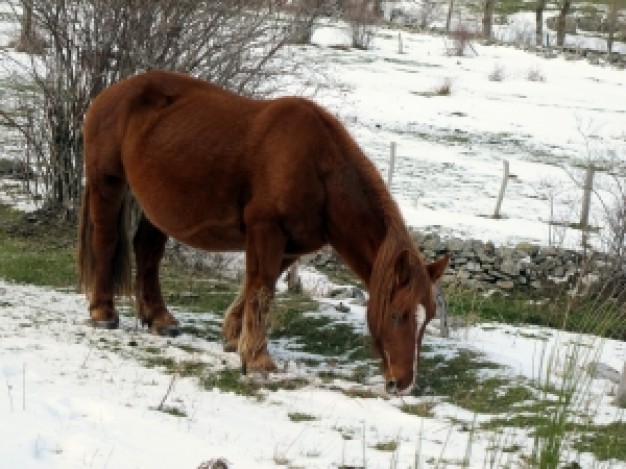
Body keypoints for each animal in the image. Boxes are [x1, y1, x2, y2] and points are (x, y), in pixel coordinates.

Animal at [78, 71, 448, 394]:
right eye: (398, 315)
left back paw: (159, 318)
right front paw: (257, 359)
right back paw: (103, 312)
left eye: (427, 320)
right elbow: (262, 289)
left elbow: (257, 287)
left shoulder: (290, 246)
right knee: (106, 241)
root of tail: (110, 94)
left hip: (158, 206)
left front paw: (233, 336)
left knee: (148, 250)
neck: (319, 169)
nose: (404, 383)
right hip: (107, 183)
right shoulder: (266, 230)